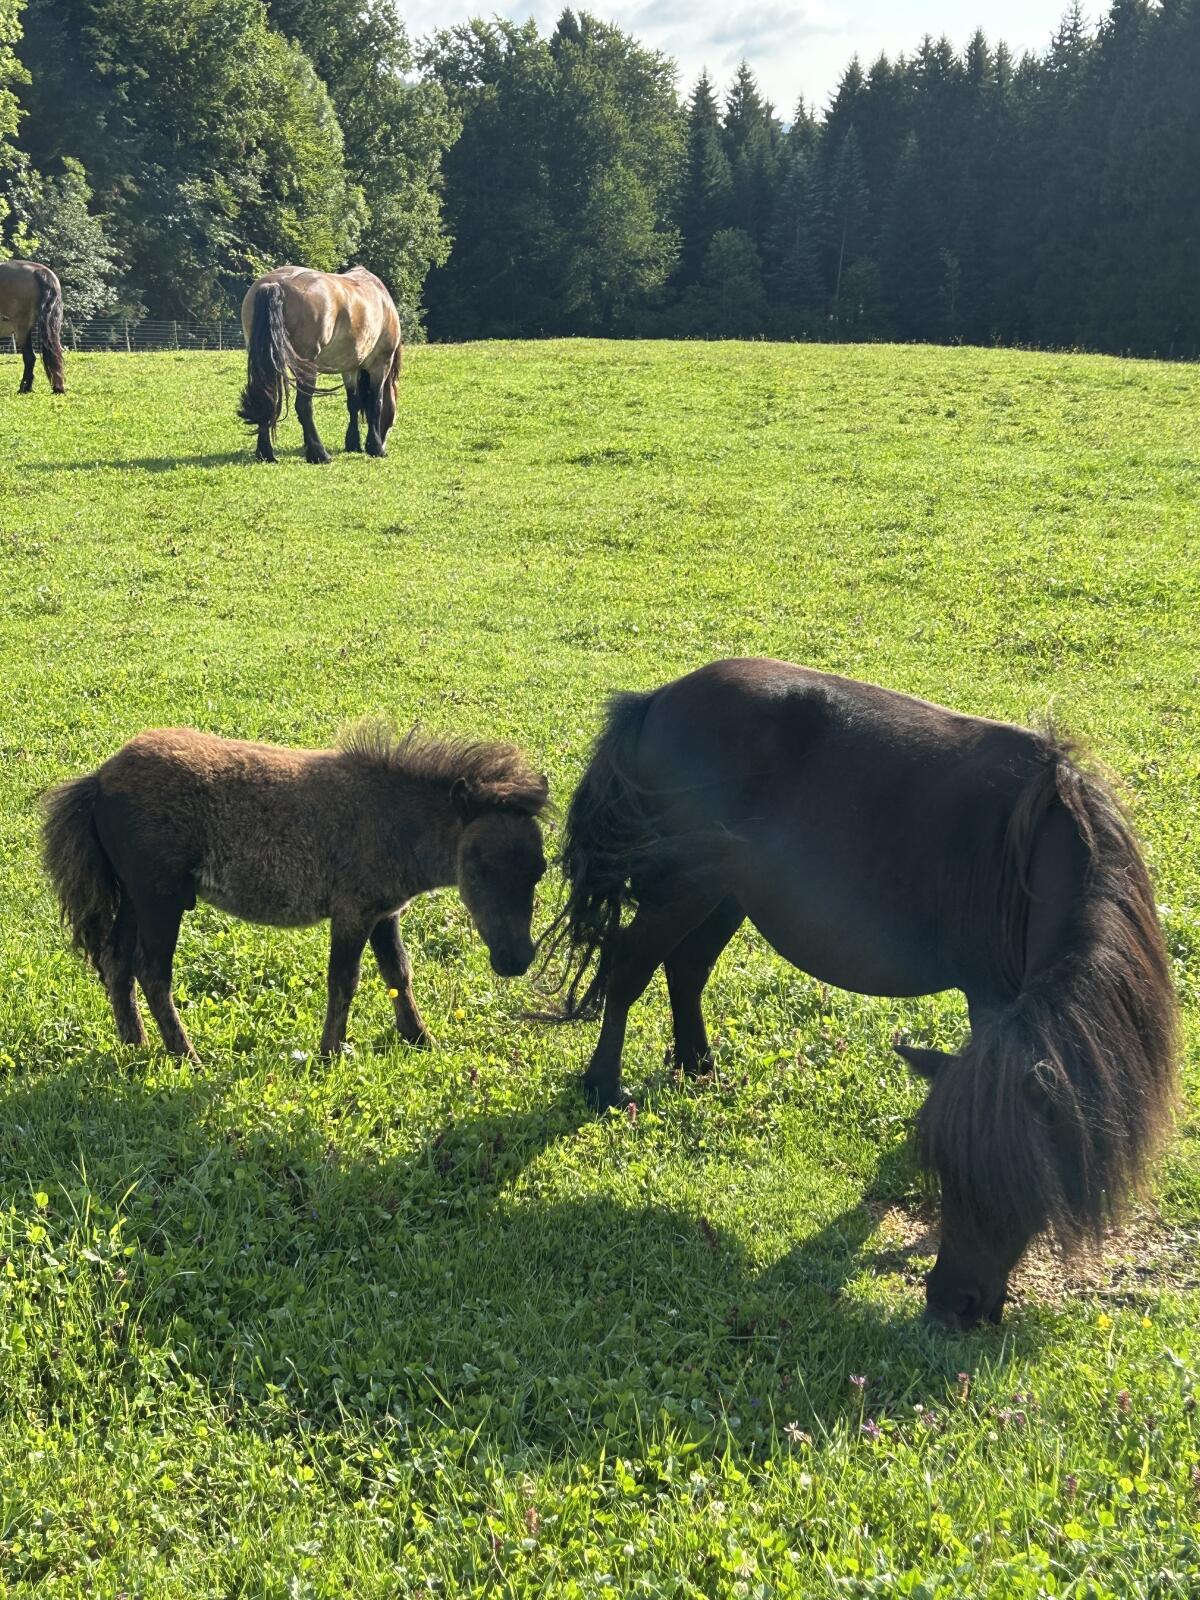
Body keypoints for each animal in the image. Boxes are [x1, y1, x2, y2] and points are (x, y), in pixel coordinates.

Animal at [43, 724, 549, 1062]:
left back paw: (137, 1044)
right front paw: (329, 1055)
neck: (389, 819)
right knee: (152, 973)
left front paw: (420, 1038)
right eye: (478, 869)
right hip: (159, 899)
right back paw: (186, 1056)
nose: (516, 959)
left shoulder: (384, 913)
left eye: (540, 870)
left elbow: (398, 974)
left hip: (135, 898)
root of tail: (100, 780)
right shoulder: (353, 913)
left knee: (116, 963)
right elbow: (344, 981)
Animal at [238, 264, 402, 464]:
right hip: (308, 367)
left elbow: (353, 403)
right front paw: (375, 447)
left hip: (267, 362)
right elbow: (375, 403)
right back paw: (319, 453)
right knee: (304, 406)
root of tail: (274, 284)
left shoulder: (350, 368)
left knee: (267, 397)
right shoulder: (380, 364)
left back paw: (266, 453)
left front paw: (353, 443)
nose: (384, 441)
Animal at [546, 658, 1178, 1331]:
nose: (951, 1304)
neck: (1035, 849)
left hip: (724, 892)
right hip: (684, 887)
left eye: (1019, 1181)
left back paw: (698, 1068)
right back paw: (603, 1086)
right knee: (629, 967)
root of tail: (655, 701)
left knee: (685, 969)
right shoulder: (991, 997)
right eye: (950, 1178)